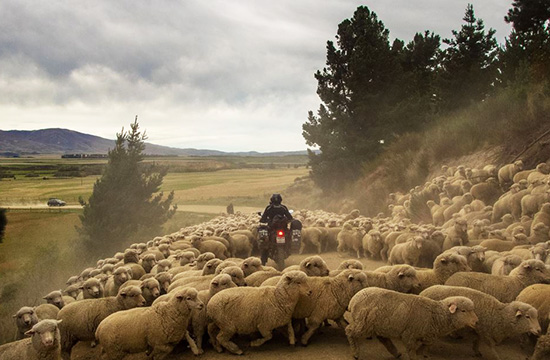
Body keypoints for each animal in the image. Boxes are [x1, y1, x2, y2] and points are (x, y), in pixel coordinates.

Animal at [344, 288, 478, 360]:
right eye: (464, 311)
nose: (476, 321)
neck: (436, 315)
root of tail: (354, 299)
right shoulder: (409, 334)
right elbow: (411, 349)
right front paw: (415, 355)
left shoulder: (428, 334)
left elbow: (427, 344)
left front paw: (421, 353)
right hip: (363, 322)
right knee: (349, 331)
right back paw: (355, 353)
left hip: (378, 325)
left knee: (383, 339)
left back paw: (396, 353)